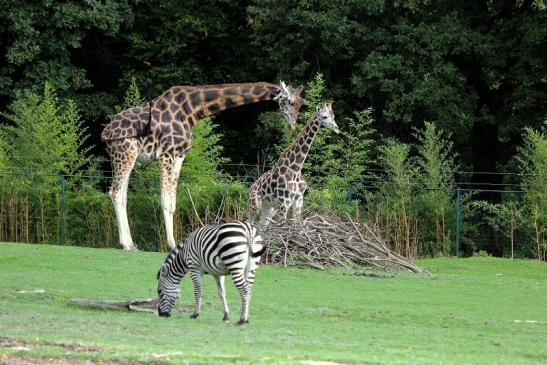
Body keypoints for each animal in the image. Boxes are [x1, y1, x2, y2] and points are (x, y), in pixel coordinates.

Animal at [101, 80, 304, 249]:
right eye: (290, 102)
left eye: (301, 103)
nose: (293, 125)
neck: (192, 109)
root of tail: (105, 132)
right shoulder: (166, 154)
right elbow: (165, 200)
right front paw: (171, 244)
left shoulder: (179, 155)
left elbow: (173, 202)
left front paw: (174, 242)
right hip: (125, 152)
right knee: (116, 192)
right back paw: (127, 244)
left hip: (126, 156)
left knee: (122, 193)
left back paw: (130, 243)